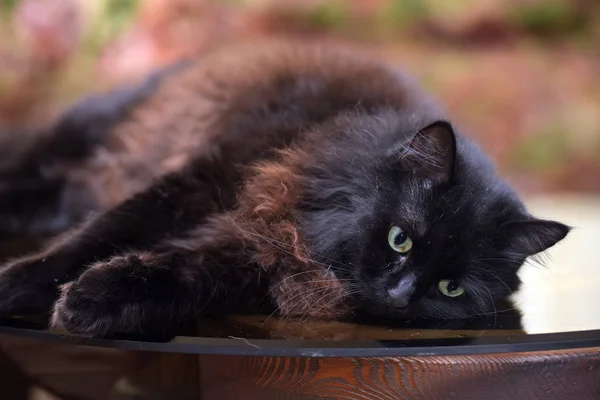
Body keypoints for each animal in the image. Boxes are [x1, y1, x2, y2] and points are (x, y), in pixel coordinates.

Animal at [0, 39, 568, 334]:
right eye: (400, 239)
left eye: (452, 288)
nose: (401, 294)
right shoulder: (201, 182)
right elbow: (97, 237)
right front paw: (17, 284)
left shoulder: (247, 256)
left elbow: (173, 274)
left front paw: (93, 301)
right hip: (80, 140)